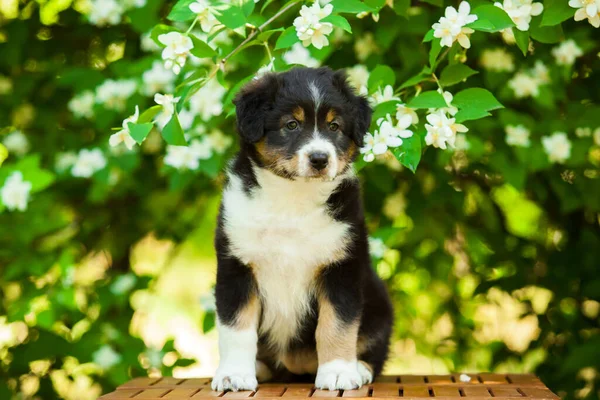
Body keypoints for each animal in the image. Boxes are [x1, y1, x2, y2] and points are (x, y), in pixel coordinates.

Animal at [211, 67, 394, 392]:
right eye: (291, 125)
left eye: (334, 126)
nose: (320, 158)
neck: (293, 199)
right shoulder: (237, 266)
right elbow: (236, 327)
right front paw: (234, 375)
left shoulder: (341, 266)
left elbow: (337, 325)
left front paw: (338, 372)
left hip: (379, 303)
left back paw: (359, 368)